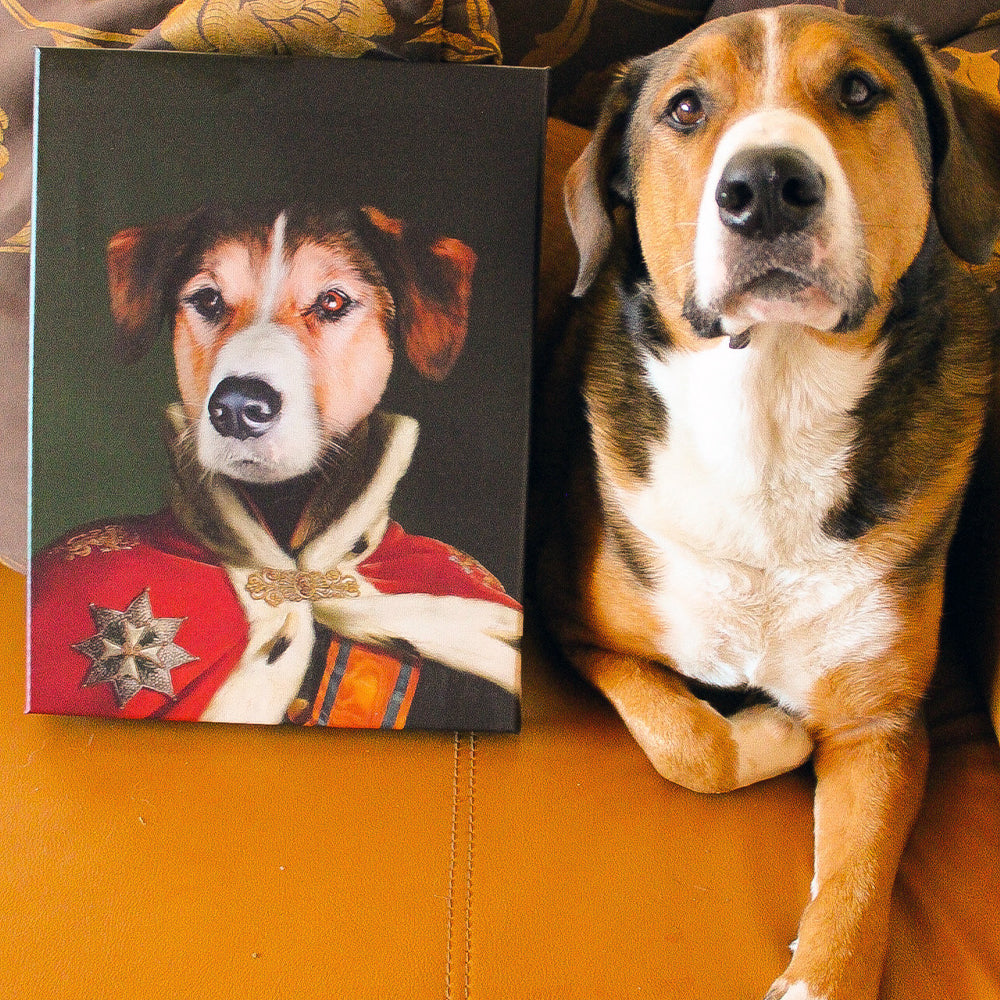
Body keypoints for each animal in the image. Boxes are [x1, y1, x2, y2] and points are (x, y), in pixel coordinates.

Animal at [540, 7, 1000, 1000]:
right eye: (684, 108)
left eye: (860, 89)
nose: (766, 190)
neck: (772, 414)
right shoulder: (580, 633)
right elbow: (690, 744)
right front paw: (775, 735)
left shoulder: (882, 723)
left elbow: (857, 887)